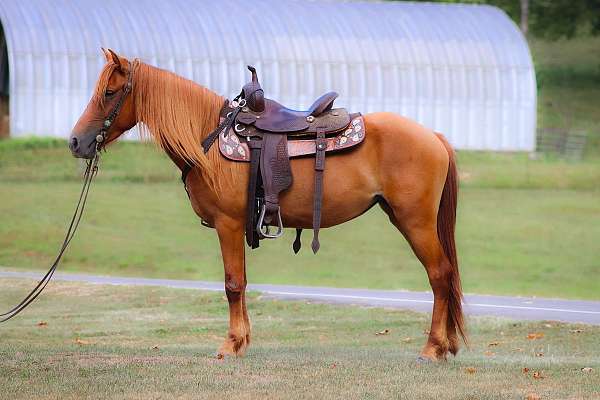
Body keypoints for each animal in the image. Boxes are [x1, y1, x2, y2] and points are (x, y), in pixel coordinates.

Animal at [68, 48, 466, 360]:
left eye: (109, 92)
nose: (75, 142)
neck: (208, 140)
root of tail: (433, 136)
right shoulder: (239, 224)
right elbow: (242, 282)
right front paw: (242, 340)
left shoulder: (227, 224)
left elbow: (232, 283)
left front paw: (230, 345)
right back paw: (445, 345)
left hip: (415, 222)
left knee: (439, 275)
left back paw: (433, 348)